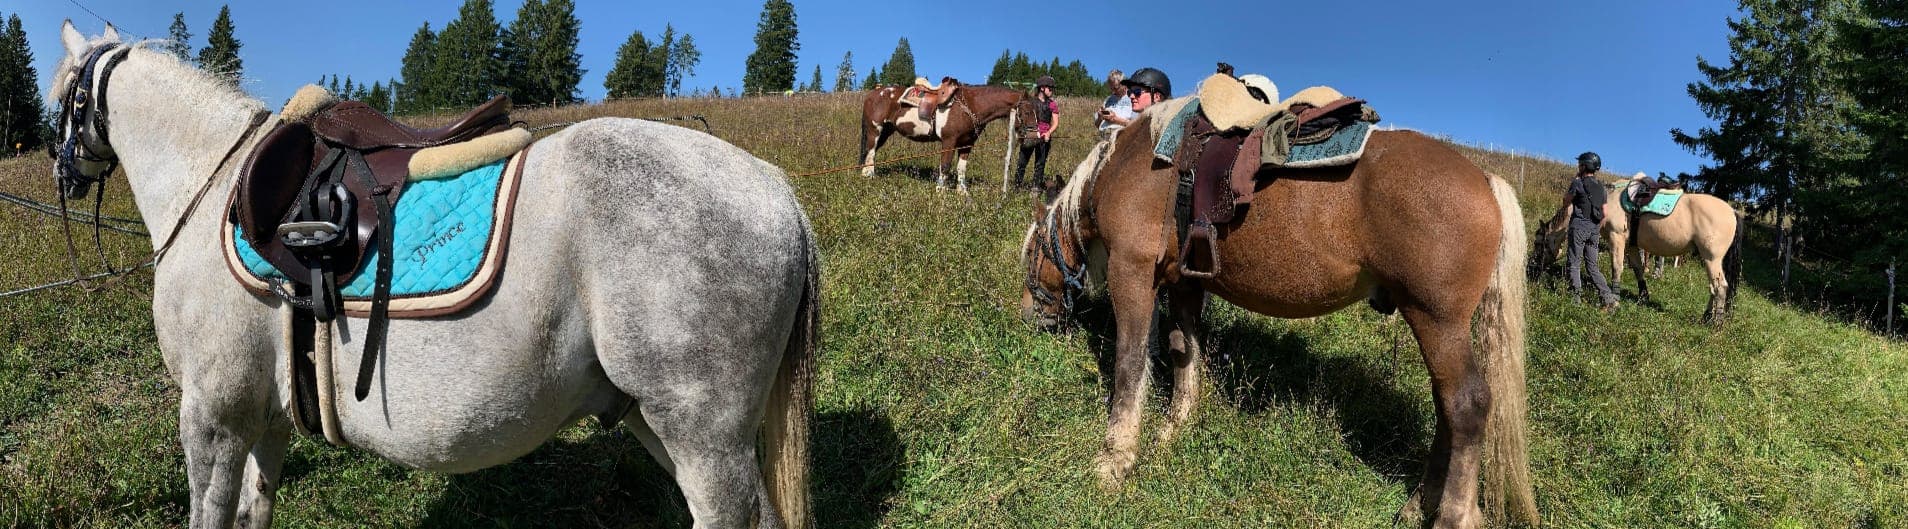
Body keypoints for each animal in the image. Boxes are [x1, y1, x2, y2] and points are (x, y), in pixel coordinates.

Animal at [49, 24, 817, 529]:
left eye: (63, 100)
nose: (63, 170)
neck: (216, 186)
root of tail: (776, 189)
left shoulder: (213, 416)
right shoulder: (265, 416)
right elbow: (253, 509)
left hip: (702, 436)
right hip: (655, 420)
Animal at [857, 77, 1026, 194]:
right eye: (1028, 110)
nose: (1029, 133)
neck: (971, 104)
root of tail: (873, 94)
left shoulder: (967, 144)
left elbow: (961, 167)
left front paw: (962, 192)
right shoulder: (949, 141)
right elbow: (945, 165)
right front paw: (941, 191)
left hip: (886, 131)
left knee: (869, 151)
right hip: (875, 129)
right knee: (870, 151)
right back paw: (869, 176)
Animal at [1019, 105, 1537, 528]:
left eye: (1030, 254)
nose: (1028, 314)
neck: (1129, 164)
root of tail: (1486, 179)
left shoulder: (1132, 270)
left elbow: (1129, 364)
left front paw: (1115, 460)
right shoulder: (1185, 282)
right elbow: (1184, 348)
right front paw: (1176, 426)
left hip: (1436, 320)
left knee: (1467, 406)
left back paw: (1451, 515)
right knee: (1446, 406)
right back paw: (1418, 505)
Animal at [1532, 182, 1743, 322]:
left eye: (1538, 242)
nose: (1531, 268)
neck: (1607, 201)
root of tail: (1733, 212)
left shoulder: (1616, 238)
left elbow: (1617, 268)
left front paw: (1615, 299)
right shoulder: (1632, 245)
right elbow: (1637, 269)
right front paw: (1643, 296)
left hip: (1711, 258)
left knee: (1720, 287)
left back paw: (1716, 323)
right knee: (1713, 287)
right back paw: (1706, 316)